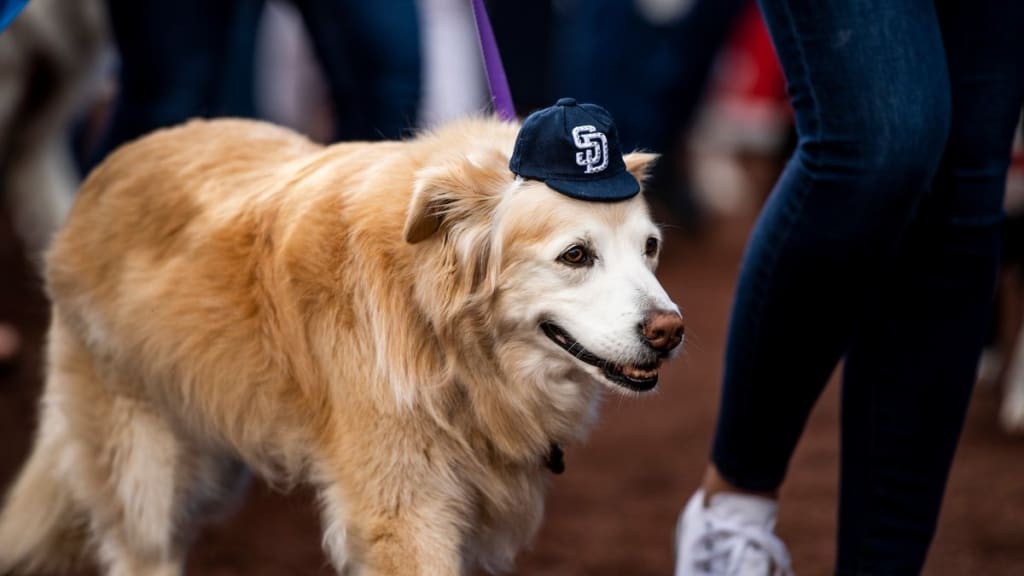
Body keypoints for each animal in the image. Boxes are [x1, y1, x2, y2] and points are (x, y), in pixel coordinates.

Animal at [2, 116, 688, 573]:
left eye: (650, 249)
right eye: (575, 256)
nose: (671, 332)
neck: (448, 342)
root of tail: (108, 169)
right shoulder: (403, 514)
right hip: (147, 483)